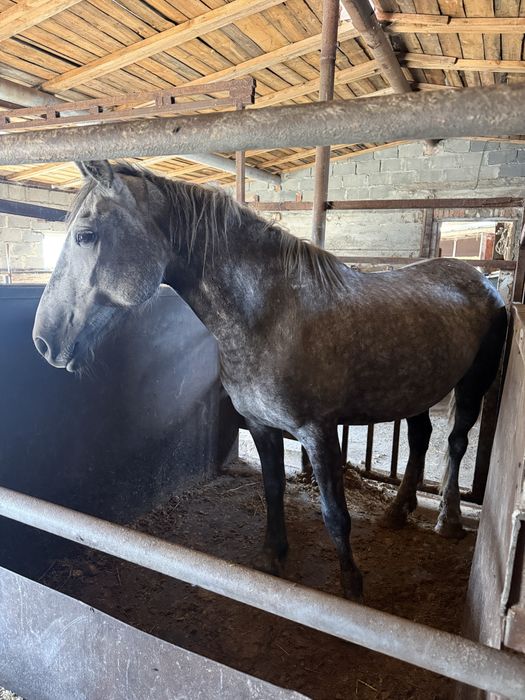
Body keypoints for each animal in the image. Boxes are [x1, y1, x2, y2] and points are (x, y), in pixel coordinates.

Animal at [32, 160, 508, 601]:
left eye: (85, 235)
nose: (43, 340)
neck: (272, 316)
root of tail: (483, 280)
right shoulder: (262, 427)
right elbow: (273, 488)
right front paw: (272, 556)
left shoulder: (318, 432)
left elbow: (334, 511)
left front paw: (351, 584)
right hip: (416, 389)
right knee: (421, 437)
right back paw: (398, 510)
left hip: (471, 387)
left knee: (456, 443)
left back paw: (448, 520)